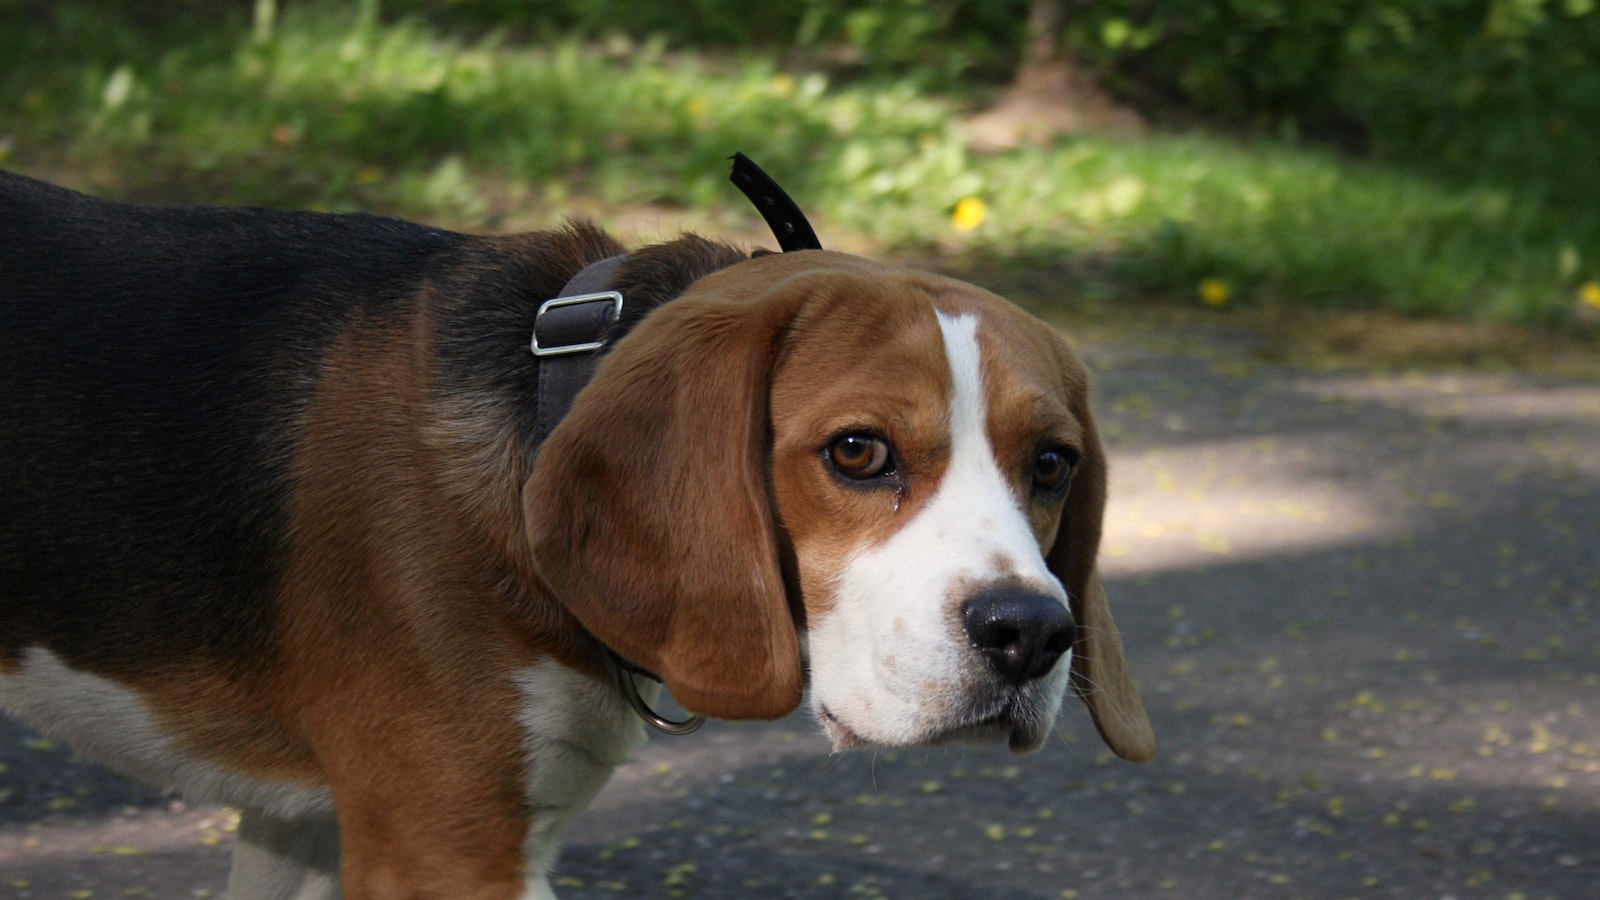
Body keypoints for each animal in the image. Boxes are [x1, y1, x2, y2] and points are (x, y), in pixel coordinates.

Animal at [0, 169, 1152, 896]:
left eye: (1053, 466)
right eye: (859, 452)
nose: (1028, 635)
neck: (545, 393)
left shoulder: (311, 825)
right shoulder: (446, 853)